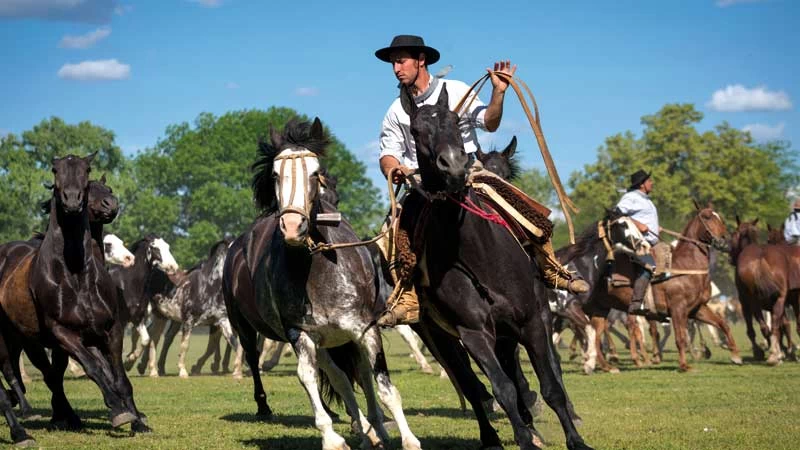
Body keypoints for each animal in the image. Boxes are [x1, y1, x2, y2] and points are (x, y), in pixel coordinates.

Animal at [0, 154, 148, 442]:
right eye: (55, 171)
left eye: (88, 173)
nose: (111, 204)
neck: (77, 275)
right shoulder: (64, 334)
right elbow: (93, 370)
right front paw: (117, 411)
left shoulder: (108, 330)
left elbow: (118, 378)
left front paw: (137, 420)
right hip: (25, 341)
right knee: (29, 374)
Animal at [225, 118, 422, 450]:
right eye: (275, 175)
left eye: (314, 173)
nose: (293, 227)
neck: (317, 271)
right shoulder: (301, 334)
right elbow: (308, 377)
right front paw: (331, 437)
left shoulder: (364, 329)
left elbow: (382, 385)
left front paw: (406, 438)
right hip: (250, 328)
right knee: (270, 362)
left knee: (360, 377)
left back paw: (375, 428)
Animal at [732, 216, 800, 364]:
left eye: (734, 234)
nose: (732, 257)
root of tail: (761, 259)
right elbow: (782, 324)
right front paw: (783, 350)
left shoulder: (744, 302)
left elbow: (752, 329)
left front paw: (760, 351)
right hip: (780, 300)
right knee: (778, 324)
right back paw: (779, 353)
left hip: (754, 302)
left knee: (767, 326)